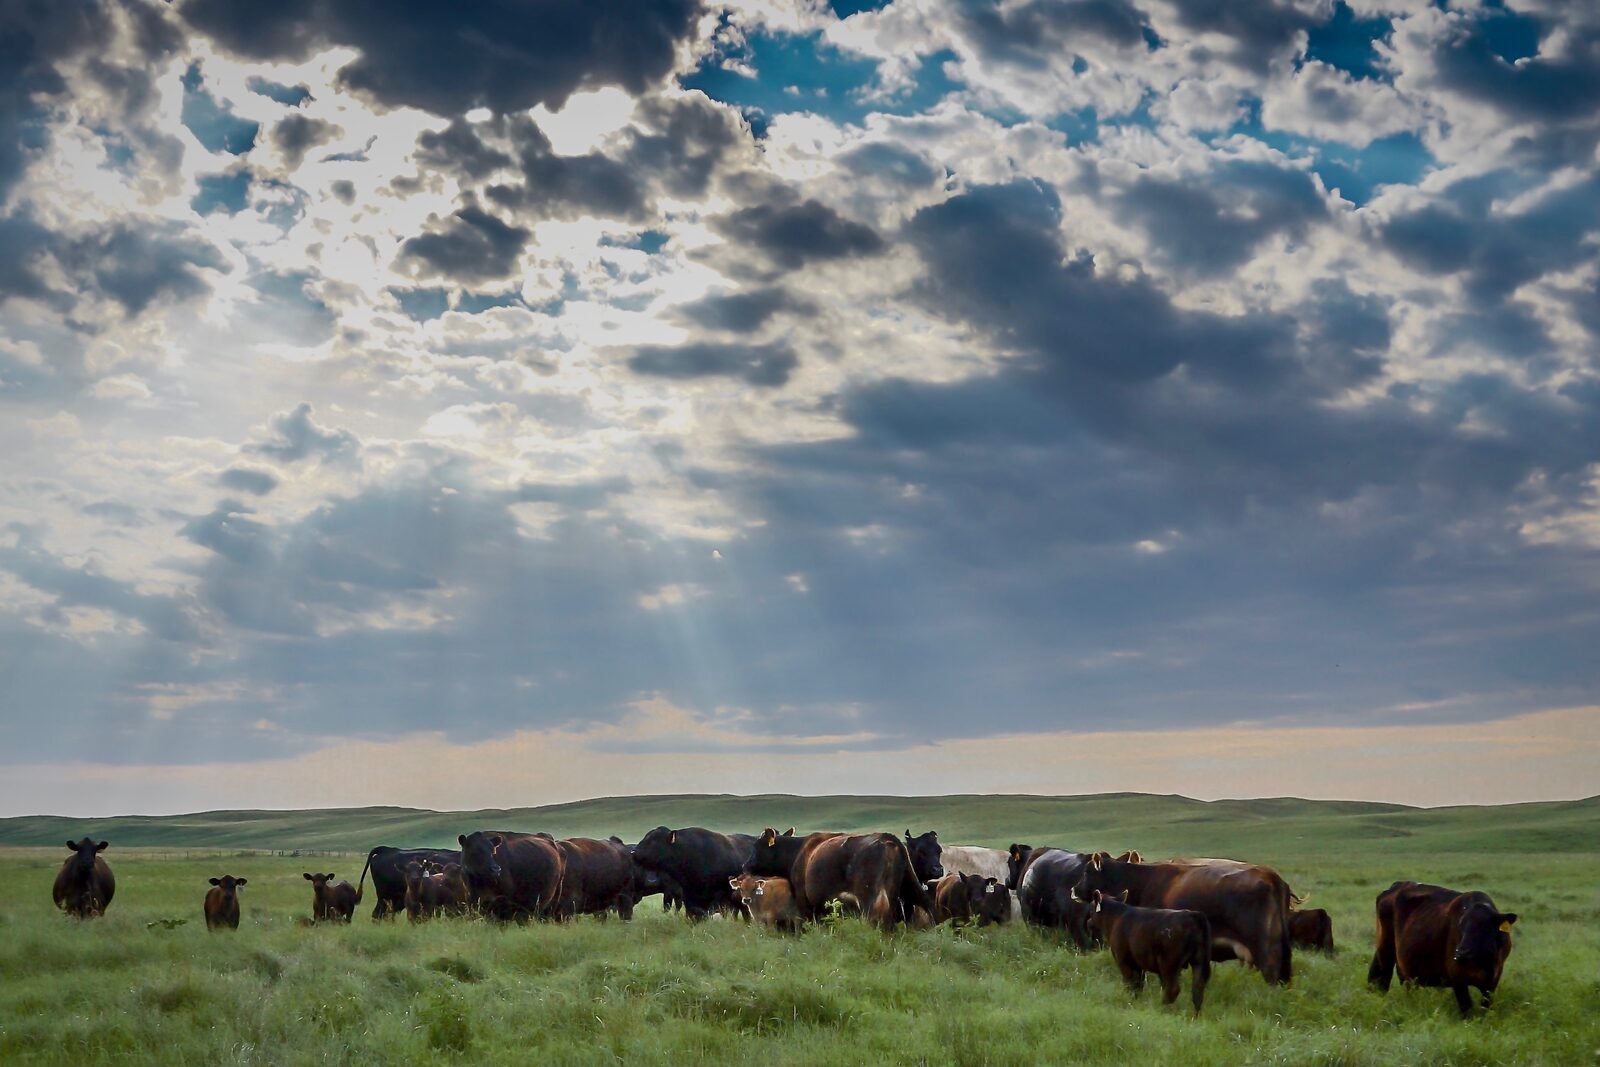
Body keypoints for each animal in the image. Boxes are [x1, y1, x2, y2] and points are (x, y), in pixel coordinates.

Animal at [746, 827, 932, 930]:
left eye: (756, 846)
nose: (745, 865)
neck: (797, 851)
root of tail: (888, 838)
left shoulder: (804, 901)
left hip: (869, 899)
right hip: (908, 891)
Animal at [1083, 889, 1211, 1015]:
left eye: (1091, 910)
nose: (1088, 923)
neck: (1116, 918)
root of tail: (1193, 915)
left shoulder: (1123, 960)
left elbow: (1129, 982)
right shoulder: (1139, 963)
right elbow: (1139, 984)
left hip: (1169, 964)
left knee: (1172, 989)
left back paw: (1162, 1008)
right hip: (1199, 962)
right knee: (1198, 989)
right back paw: (1195, 1016)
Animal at [1367, 881, 1517, 1016]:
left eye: (1484, 926)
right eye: (1461, 926)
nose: (1461, 952)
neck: (1485, 961)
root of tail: (1397, 885)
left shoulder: (1492, 981)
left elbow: (1485, 1007)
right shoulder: (1458, 978)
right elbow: (1466, 1008)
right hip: (1385, 951)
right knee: (1382, 981)